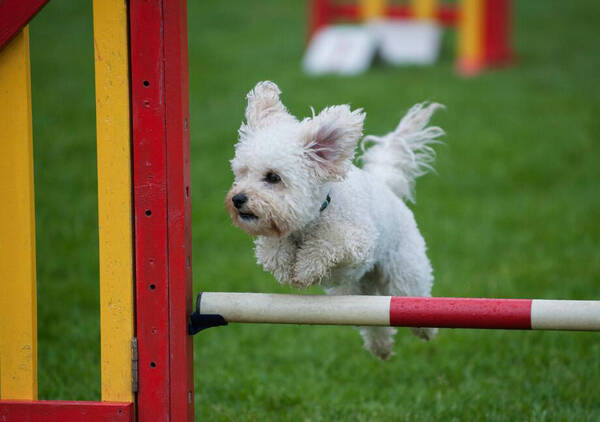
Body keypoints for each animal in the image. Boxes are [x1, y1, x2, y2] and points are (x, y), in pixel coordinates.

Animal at [227, 81, 442, 358]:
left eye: (273, 177)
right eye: (241, 173)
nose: (238, 199)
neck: (315, 216)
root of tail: (385, 184)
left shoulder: (358, 240)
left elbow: (327, 242)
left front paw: (305, 267)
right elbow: (272, 250)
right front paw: (286, 266)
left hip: (404, 274)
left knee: (412, 294)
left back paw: (425, 329)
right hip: (355, 293)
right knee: (372, 322)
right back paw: (381, 347)